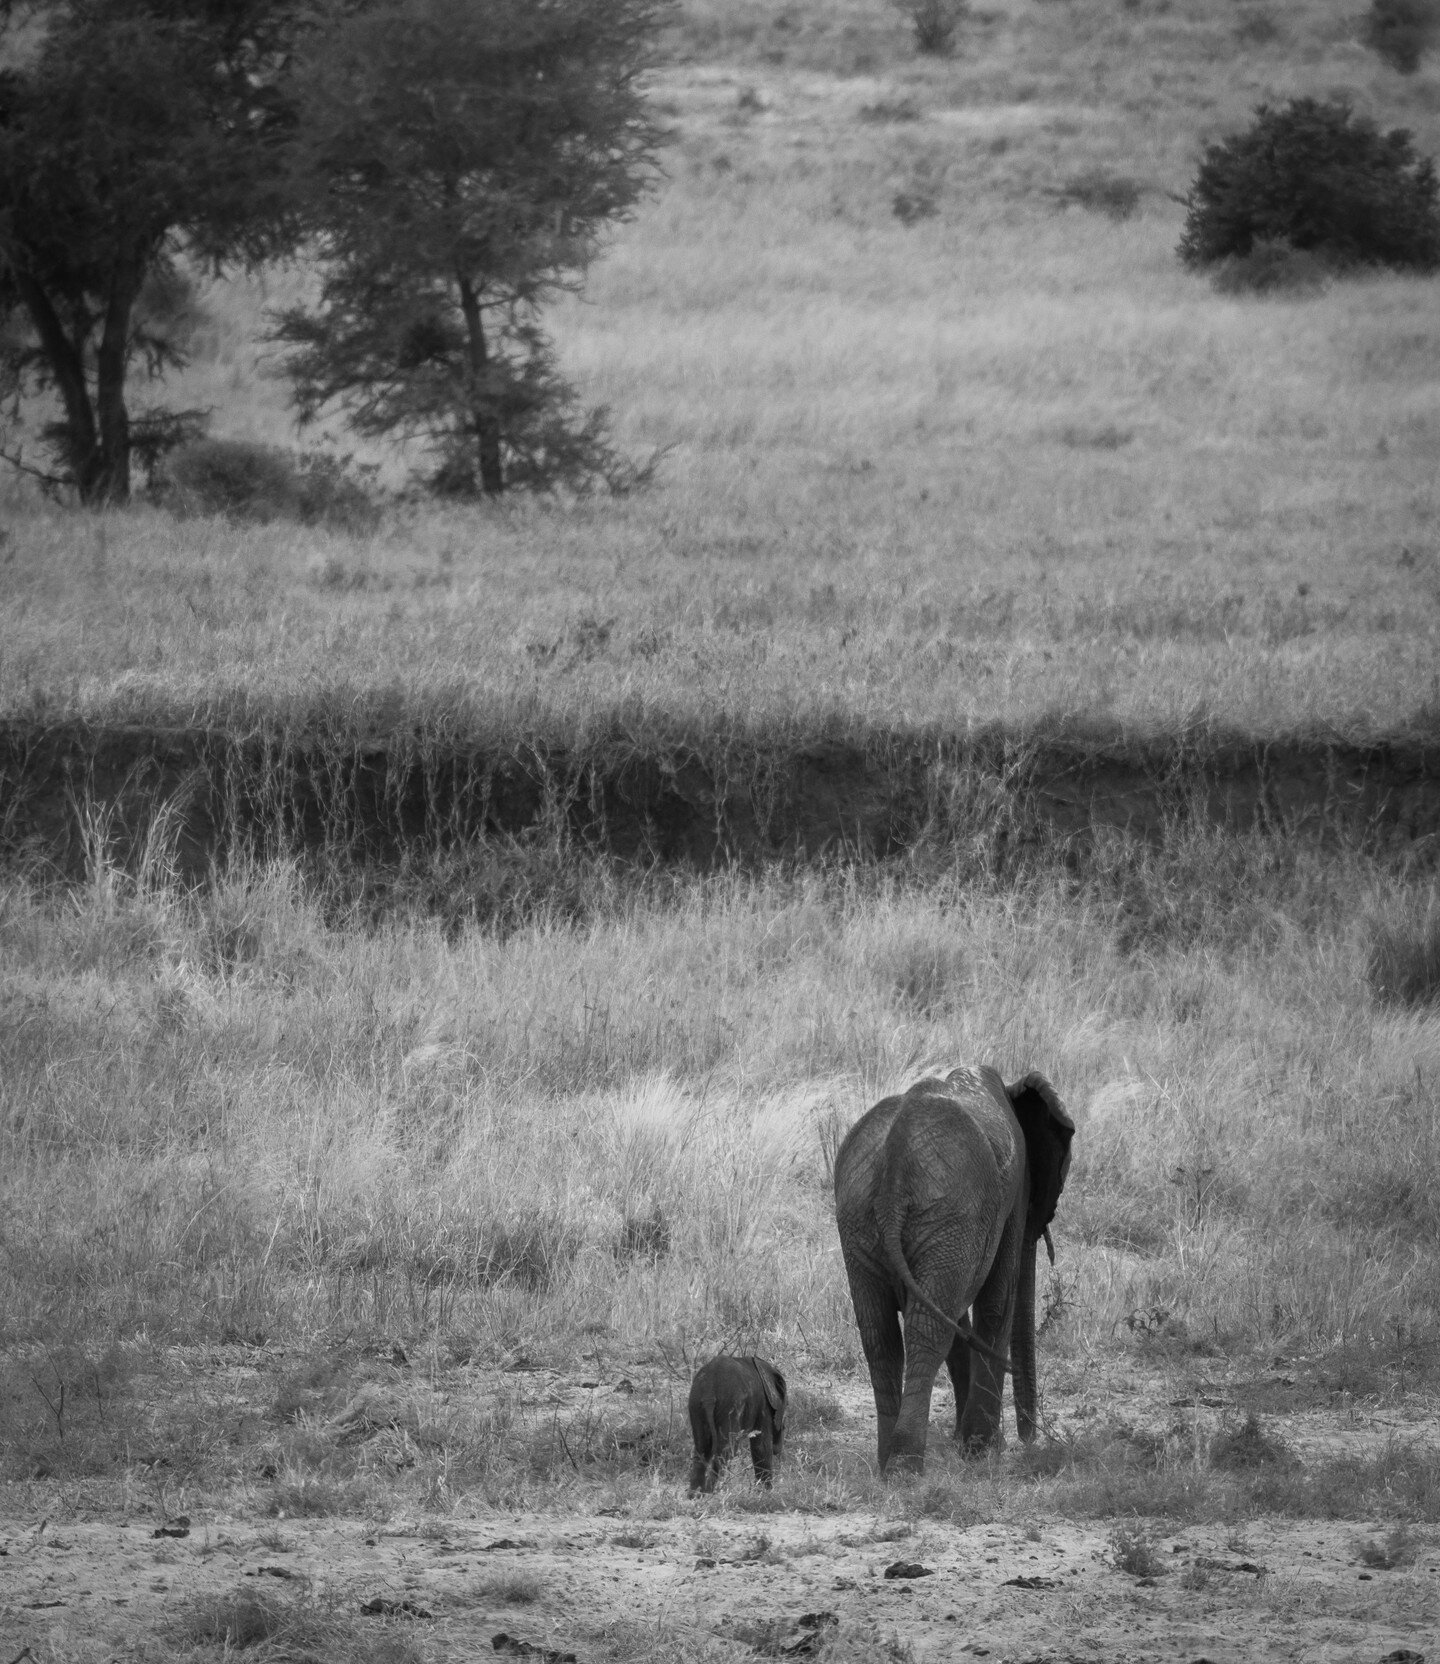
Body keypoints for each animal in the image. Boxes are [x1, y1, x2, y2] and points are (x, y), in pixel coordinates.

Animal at [685, 1351, 785, 1497]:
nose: (778, 1450)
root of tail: (709, 1392)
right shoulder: (764, 1405)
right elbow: (761, 1446)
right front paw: (766, 1493)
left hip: (696, 1404)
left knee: (701, 1449)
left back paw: (695, 1496)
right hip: (731, 1404)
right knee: (726, 1450)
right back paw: (714, 1493)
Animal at [832, 1064, 1065, 1470]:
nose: (1030, 1440)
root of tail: (893, 1164)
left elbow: (958, 1315)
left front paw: (969, 1443)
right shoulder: (1009, 1197)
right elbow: (996, 1303)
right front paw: (983, 1450)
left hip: (862, 1216)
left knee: (880, 1335)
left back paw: (886, 1461)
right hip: (948, 1211)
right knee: (927, 1330)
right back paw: (906, 1467)